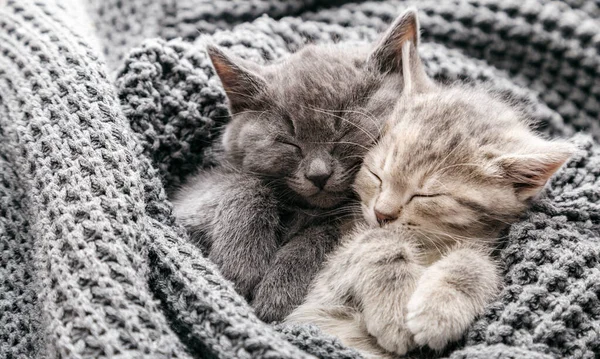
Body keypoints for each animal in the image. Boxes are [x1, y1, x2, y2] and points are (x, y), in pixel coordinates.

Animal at [171, 16, 412, 322]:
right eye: (289, 142)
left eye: (345, 132)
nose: (318, 175)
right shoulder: (191, 197)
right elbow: (246, 184)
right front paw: (240, 262)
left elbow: (328, 230)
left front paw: (278, 292)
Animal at [284, 9, 572, 359]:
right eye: (377, 174)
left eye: (426, 194)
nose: (382, 214)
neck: (430, 246)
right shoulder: (324, 283)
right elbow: (377, 241)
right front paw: (394, 312)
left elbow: (476, 261)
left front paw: (440, 310)